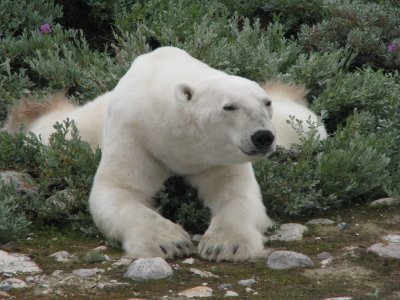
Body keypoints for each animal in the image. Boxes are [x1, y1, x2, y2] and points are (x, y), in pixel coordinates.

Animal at [4, 46, 326, 260]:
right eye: (229, 106)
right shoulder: (134, 133)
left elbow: (235, 193)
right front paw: (170, 242)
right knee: (52, 132)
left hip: (295, 129)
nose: (262, 137)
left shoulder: (217, 156)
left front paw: (225, 245)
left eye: (265, 103)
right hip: (79, 131)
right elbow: (118, 190)